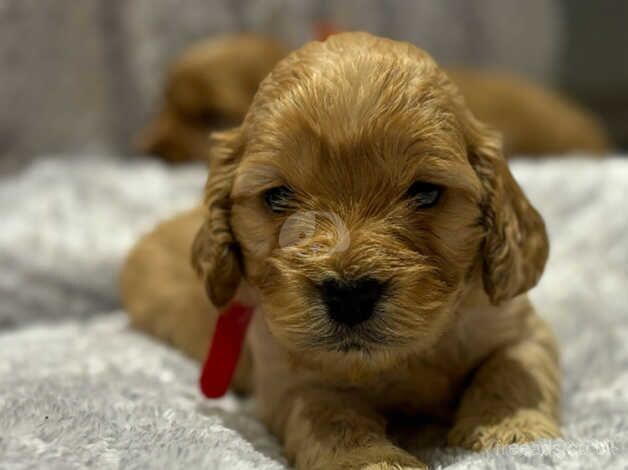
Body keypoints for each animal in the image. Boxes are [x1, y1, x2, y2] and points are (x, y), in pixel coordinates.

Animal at [120, 33, 560, 470]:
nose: (350, 295)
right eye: (277, 196)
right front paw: (376, 460)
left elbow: (511, 369)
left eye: (426, 192)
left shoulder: (515, 325)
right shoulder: (292, 378)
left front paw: (511, 431)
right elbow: (332, 418)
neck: (403, 359)